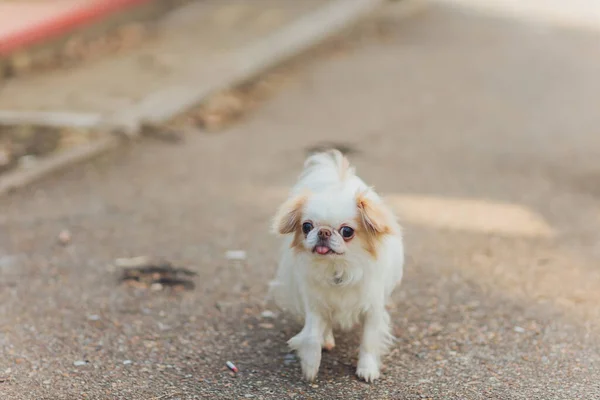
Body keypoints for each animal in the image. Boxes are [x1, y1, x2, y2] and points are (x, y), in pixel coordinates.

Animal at [270, 149, 406, 382]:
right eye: (307, 227)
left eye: (347, 231)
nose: (323, 232)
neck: (338, 267)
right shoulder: (315, 304)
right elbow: (312, 335)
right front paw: (310, 365)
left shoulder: (373, 309)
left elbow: (368, 341)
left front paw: (367, 369)